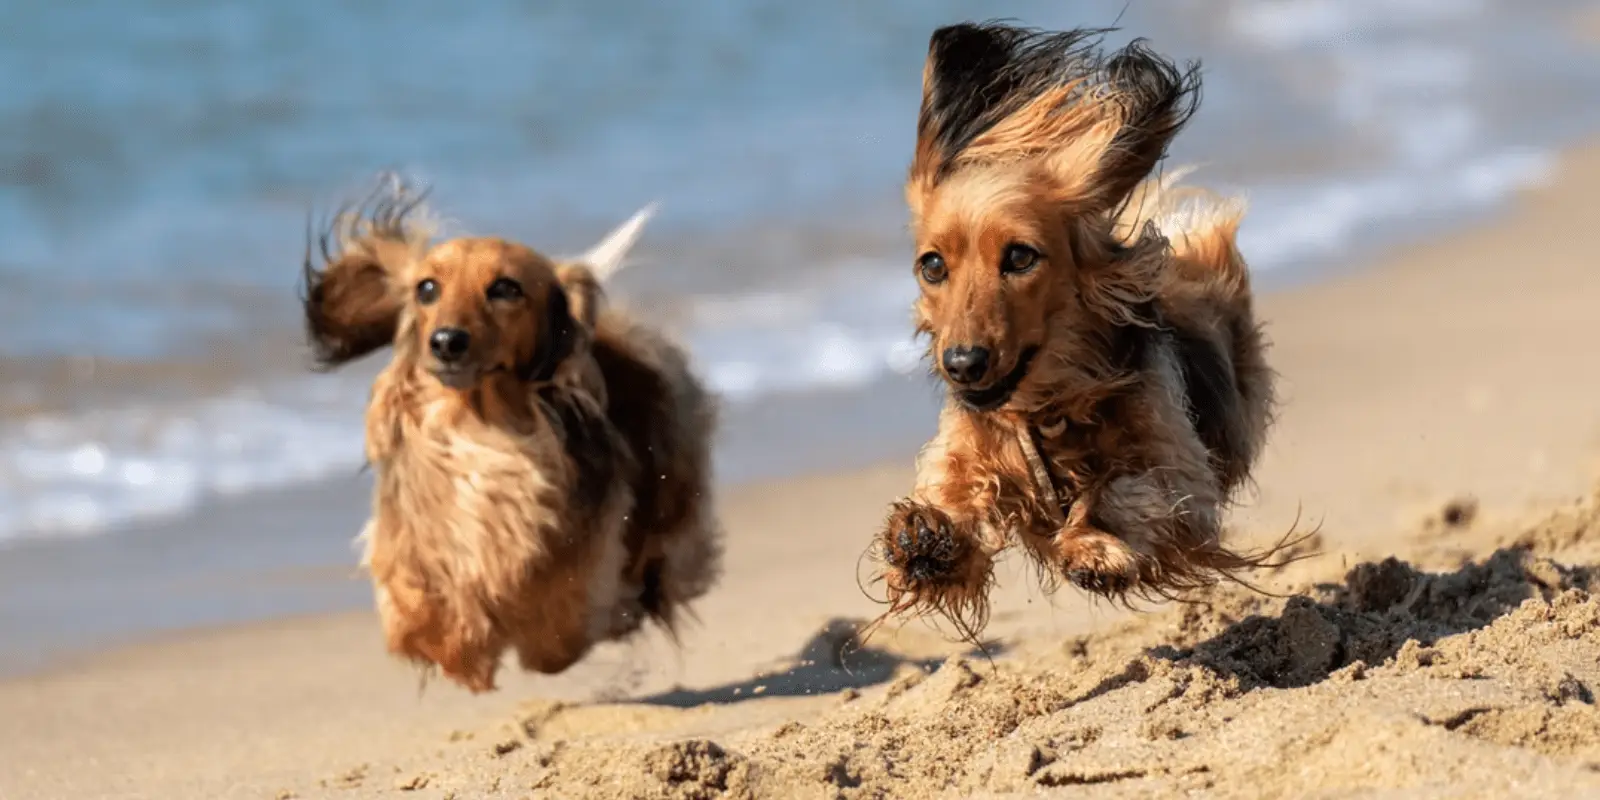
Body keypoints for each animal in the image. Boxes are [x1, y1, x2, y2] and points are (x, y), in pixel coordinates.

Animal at [299, 178, 720, 691]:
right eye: (427, 288)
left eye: (504, 288)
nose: (446, 342)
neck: (479, 425)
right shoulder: (413, 545)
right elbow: (419, 609)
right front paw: (461, 646)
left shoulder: (582, 556)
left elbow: (556, 627)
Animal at [870, 21, 1292, 640]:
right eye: (932, 266)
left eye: (1021, 257)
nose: (963, 364)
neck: (1048, 410)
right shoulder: (969, 446)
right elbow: (955, 489)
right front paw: (927, 538)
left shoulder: (1180, 474)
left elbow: (1126, 489)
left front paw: (1095, 544)